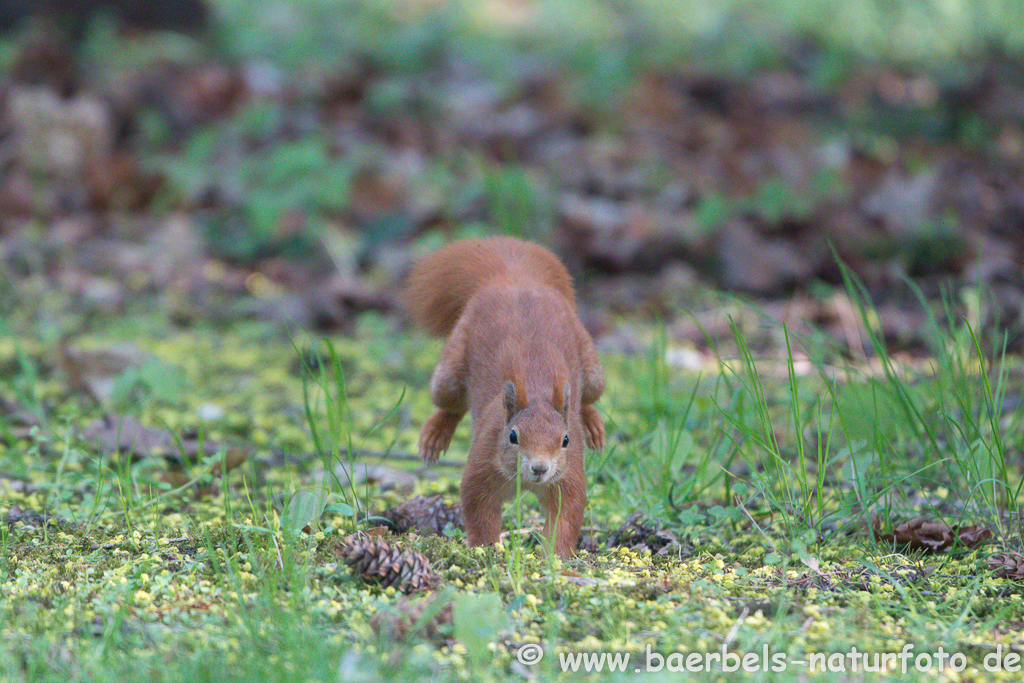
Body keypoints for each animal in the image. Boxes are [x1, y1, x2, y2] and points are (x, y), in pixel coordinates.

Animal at [403, 235, 602, 557]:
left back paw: (594, 425)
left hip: (593, 367)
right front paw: (487, 550)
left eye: (566, 440)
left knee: (587, 399)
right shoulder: (483, 465)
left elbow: (566, 516)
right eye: (512, 436)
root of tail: (513, 279)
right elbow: (478, 508)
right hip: (449, 370)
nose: (539, 468)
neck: (536, 393)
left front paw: (553, 557)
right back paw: (435, 435)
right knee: (450, 404)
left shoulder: (568, 475)